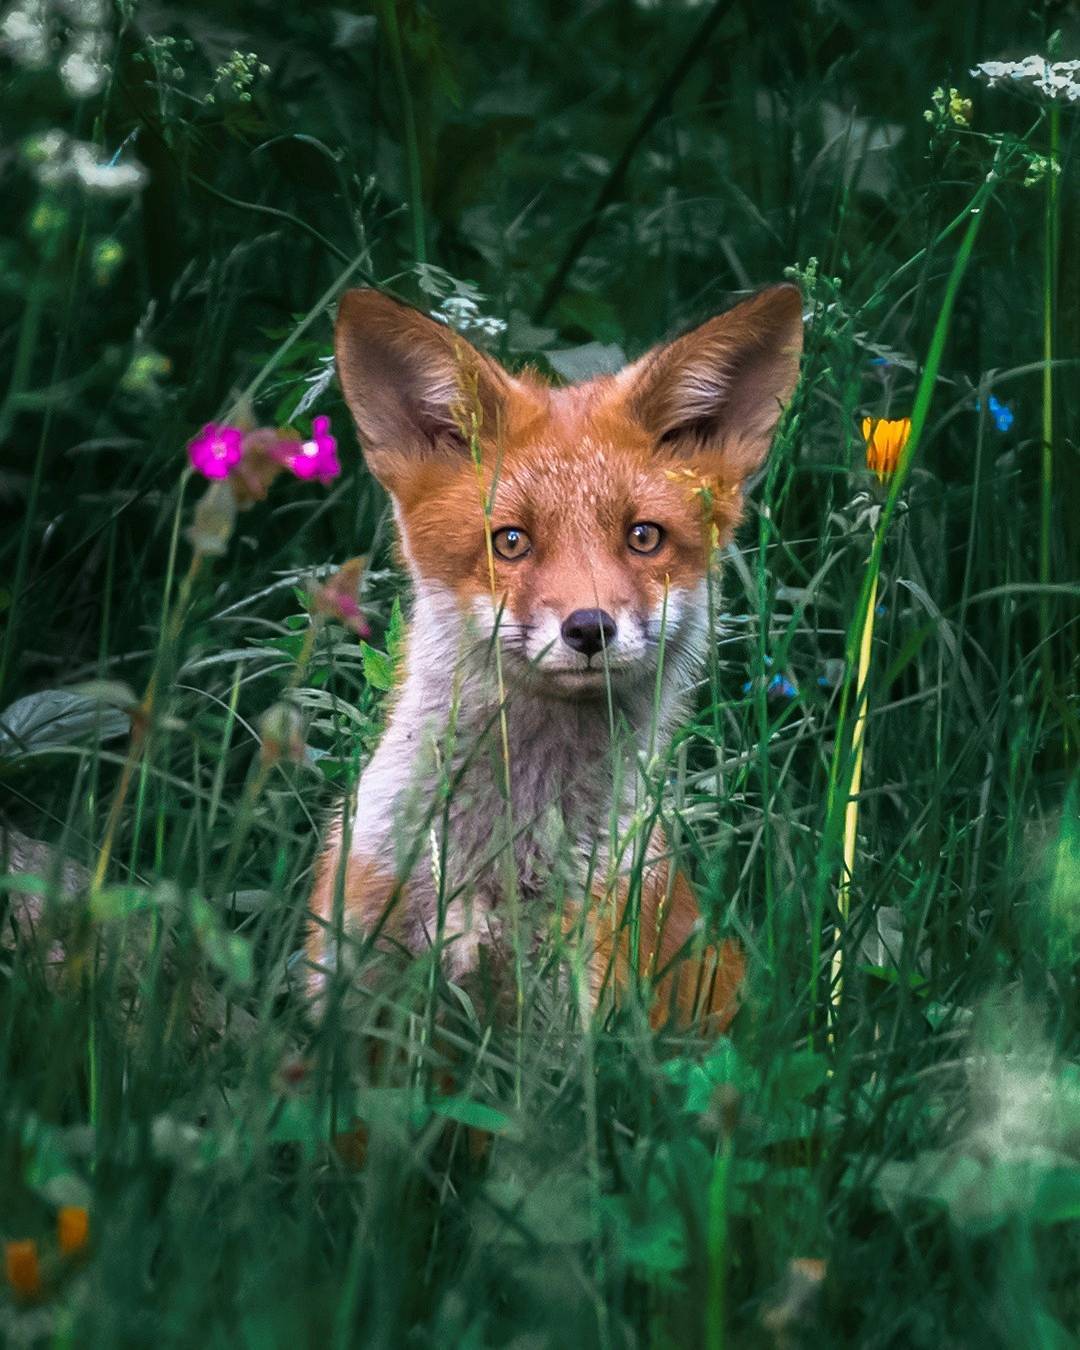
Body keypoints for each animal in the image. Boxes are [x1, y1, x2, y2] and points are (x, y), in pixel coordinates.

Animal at [303, 279, 799, 1026]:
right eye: (510, 541)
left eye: (644, 537)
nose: (589, 628)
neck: (502, 862)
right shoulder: (349, 990)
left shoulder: (568, 1018)